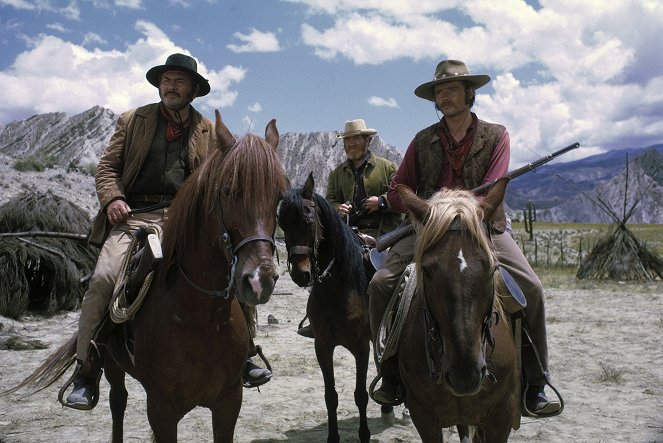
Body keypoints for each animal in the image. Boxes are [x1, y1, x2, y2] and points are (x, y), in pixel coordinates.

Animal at [5, 112, 290, 442]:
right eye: (228, 190)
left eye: (279, 197)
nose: (259, 279)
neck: (199, 318)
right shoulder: (161, 408)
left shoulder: (229, 403)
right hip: (112, 363)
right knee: (117, 400)